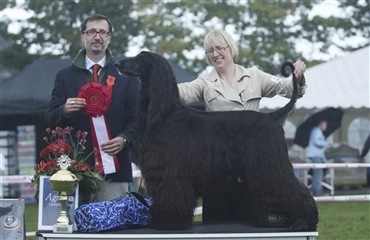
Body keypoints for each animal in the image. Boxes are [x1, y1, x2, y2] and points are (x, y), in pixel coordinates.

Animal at [115, 52, 318, 231]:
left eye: (141, 58)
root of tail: (271, 117)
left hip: (269, 166)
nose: (117, 64)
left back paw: (303, 221)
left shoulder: (171, 172)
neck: (166, 114)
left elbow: (172, 197)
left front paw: (171, 223)